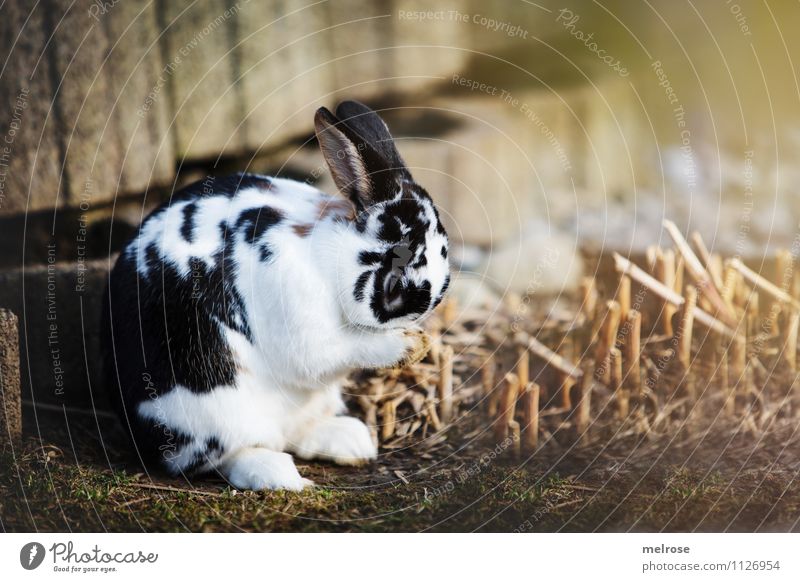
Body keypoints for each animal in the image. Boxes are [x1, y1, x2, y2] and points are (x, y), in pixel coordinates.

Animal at [101, 101, 450, 492]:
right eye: (392, 286)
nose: (418, 321)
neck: (331, 254)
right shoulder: (302, 320)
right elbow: (338, 349)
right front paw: (410, 344)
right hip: (216, 418)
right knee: (228, 457)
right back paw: (280, 475)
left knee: (298, 433)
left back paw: (352, 442)